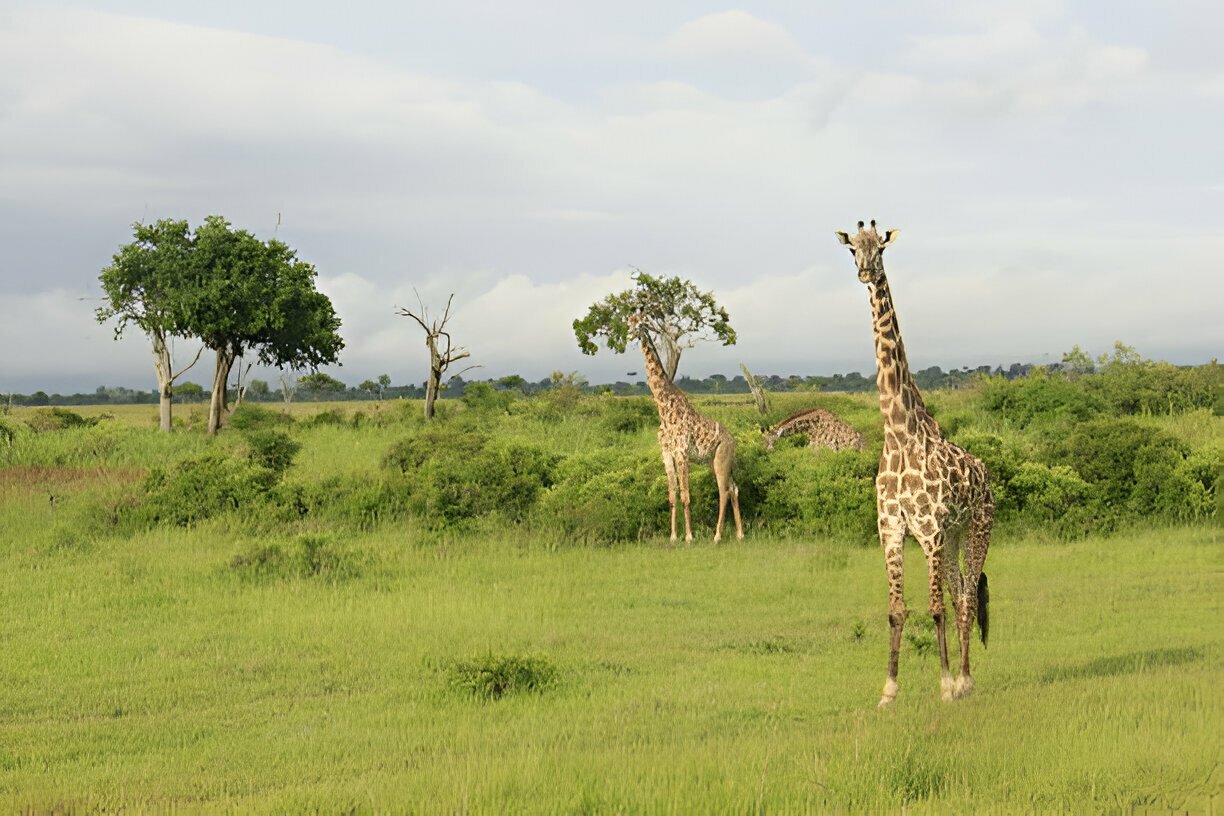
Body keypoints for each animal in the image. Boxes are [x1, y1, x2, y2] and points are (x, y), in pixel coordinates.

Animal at [631, 315, 744, 545]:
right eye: (628, 320)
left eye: (639, 322)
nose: (630, 332)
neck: (663, 409)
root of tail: (733, 440)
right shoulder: (666, 453)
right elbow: (672, 495)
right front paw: (673, 537)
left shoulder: (682, 452)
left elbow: (685, 495)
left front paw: (689, 537)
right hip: (715, 461)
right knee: (734, 488)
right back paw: (739, 534)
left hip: (721, 459)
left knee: (724, 491)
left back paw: (717, 536)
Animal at [832, 220, 993, 704]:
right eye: (853, 251)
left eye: (880, 249)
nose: (866, 273)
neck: (899, 434)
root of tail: (987, 475)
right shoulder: (891, 530)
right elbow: (896, 610)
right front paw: (888, 690)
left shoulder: (930, 530)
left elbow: (935, 608)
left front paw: (944, 685)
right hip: (955, 536)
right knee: (961, 594)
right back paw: (963, 677)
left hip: (977, 526)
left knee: (966, 596)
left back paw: (965, 679)